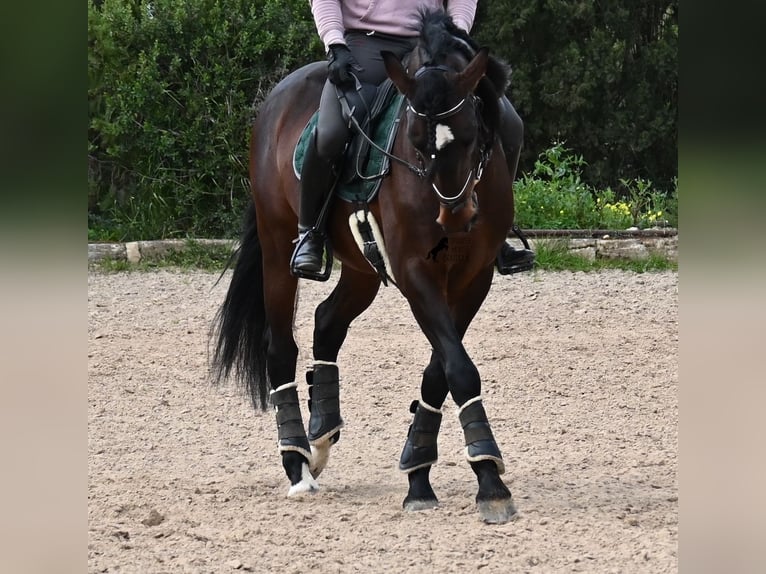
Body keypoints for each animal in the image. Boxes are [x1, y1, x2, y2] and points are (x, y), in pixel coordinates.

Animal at [213, 9, 520, 524]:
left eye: (472, 132)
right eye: (415, 140)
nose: (454, 217)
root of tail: (277, 97)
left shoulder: (474, 278)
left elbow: (441, 369)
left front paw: (419, 471)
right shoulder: (416, 272)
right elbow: (458, 368)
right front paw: (490, 481)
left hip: (361, 269)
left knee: (326, 322)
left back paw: (321, 432)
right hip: (278, 250)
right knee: (281, 349)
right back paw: (297, 463)